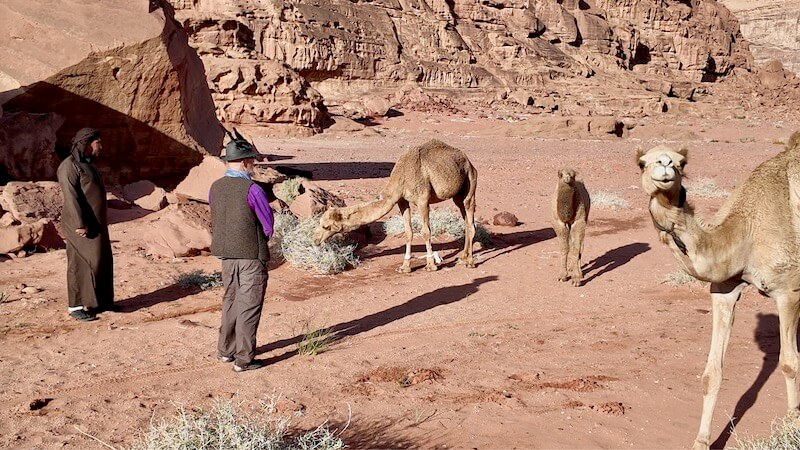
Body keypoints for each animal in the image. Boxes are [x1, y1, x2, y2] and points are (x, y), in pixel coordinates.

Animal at [313, 139, 478, 272]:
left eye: (326, 226)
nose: (315, 239)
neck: (402, 175)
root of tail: (468, 161)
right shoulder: (402, 201)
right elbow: (408, 232)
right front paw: (405, 267)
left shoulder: (423, 200)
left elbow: (425, 232)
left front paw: (431, 265)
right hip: (457, 195)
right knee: (465, 217)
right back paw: (463, 258)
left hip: (470, 180)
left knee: (469, 216)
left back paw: (470, 262)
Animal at [636, 133, 800, 450]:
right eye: (641, 162)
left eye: (682, 162)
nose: (664, 165)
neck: (746, 232)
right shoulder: (724, 289)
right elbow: (712, 373)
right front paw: (701, 441)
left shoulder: (789, 291)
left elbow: (789, 363)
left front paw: (793, 423)